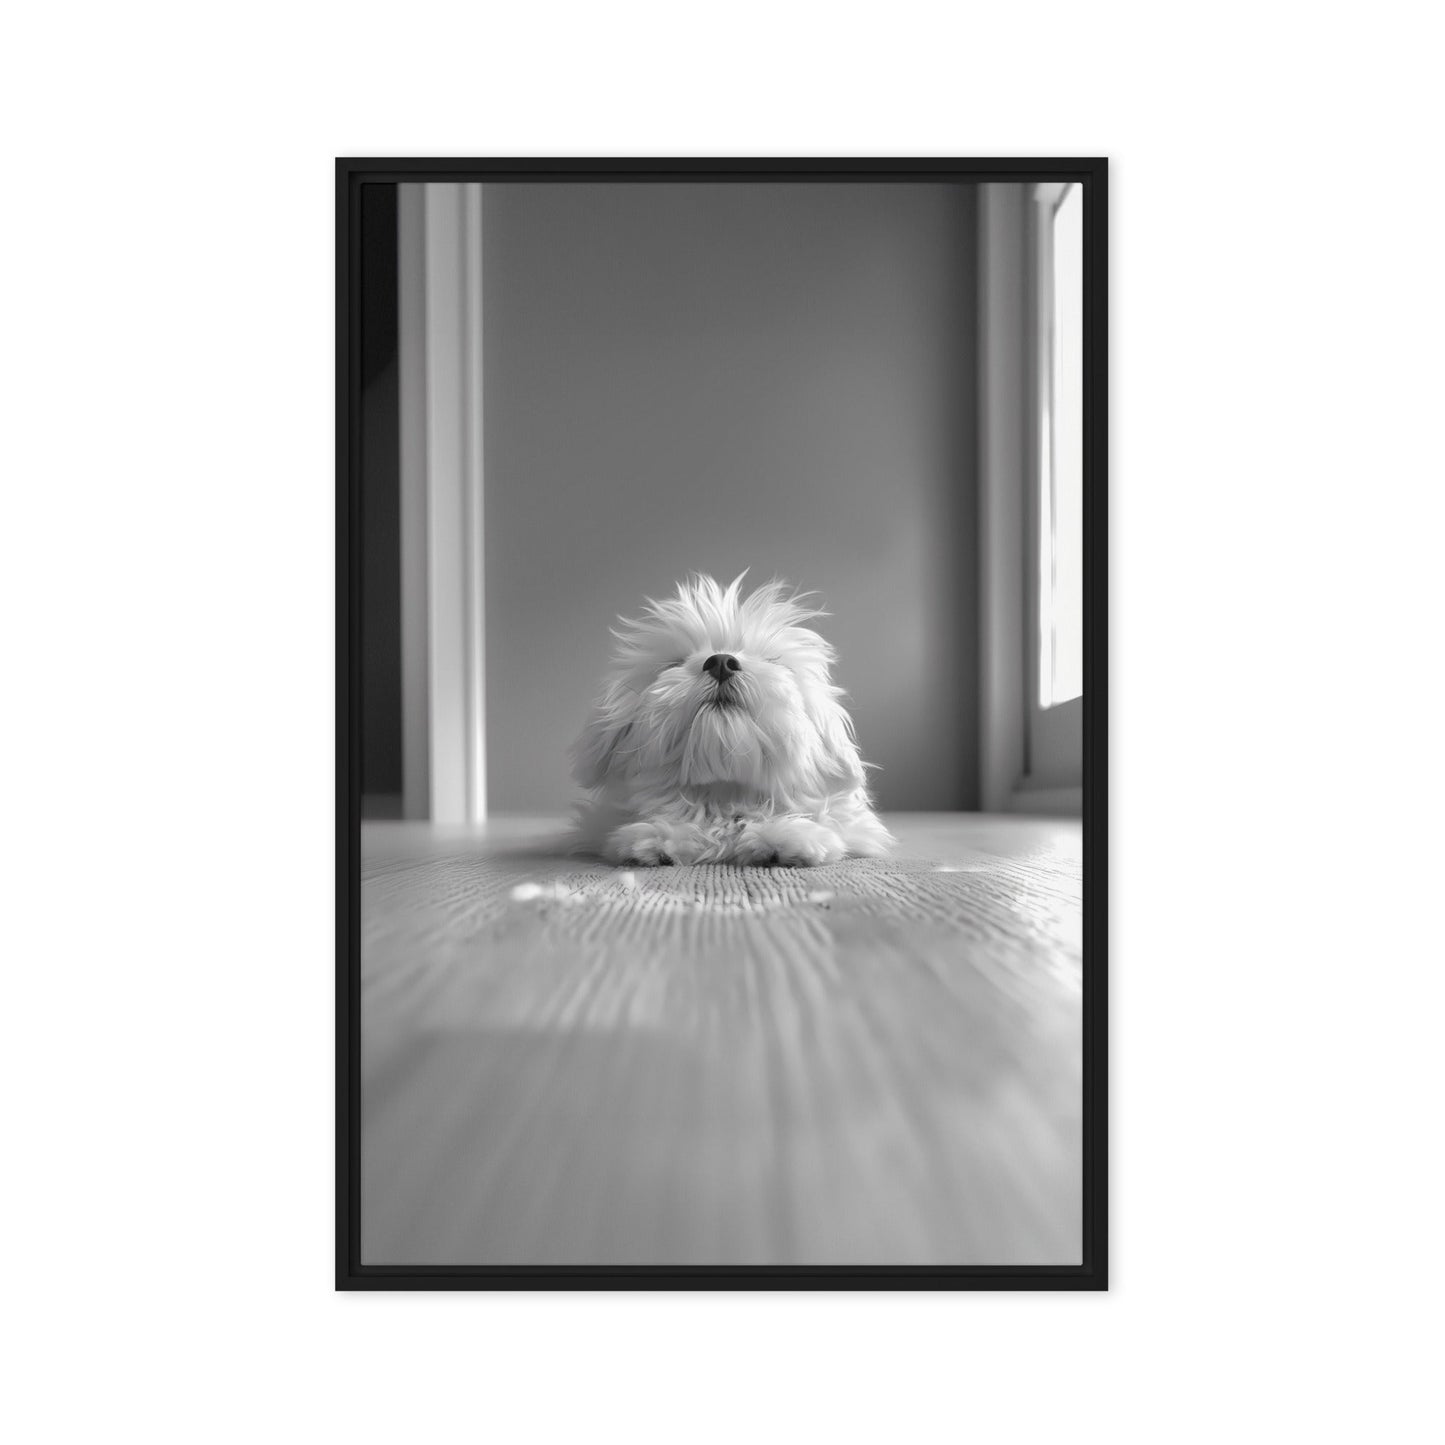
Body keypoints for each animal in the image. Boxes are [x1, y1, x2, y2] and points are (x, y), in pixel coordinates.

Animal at [566, 575, 890, 867]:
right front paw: (659, 836)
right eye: (674, 663)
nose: (721, 662)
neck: (725, 794)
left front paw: (787, 835)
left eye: (773, 661)